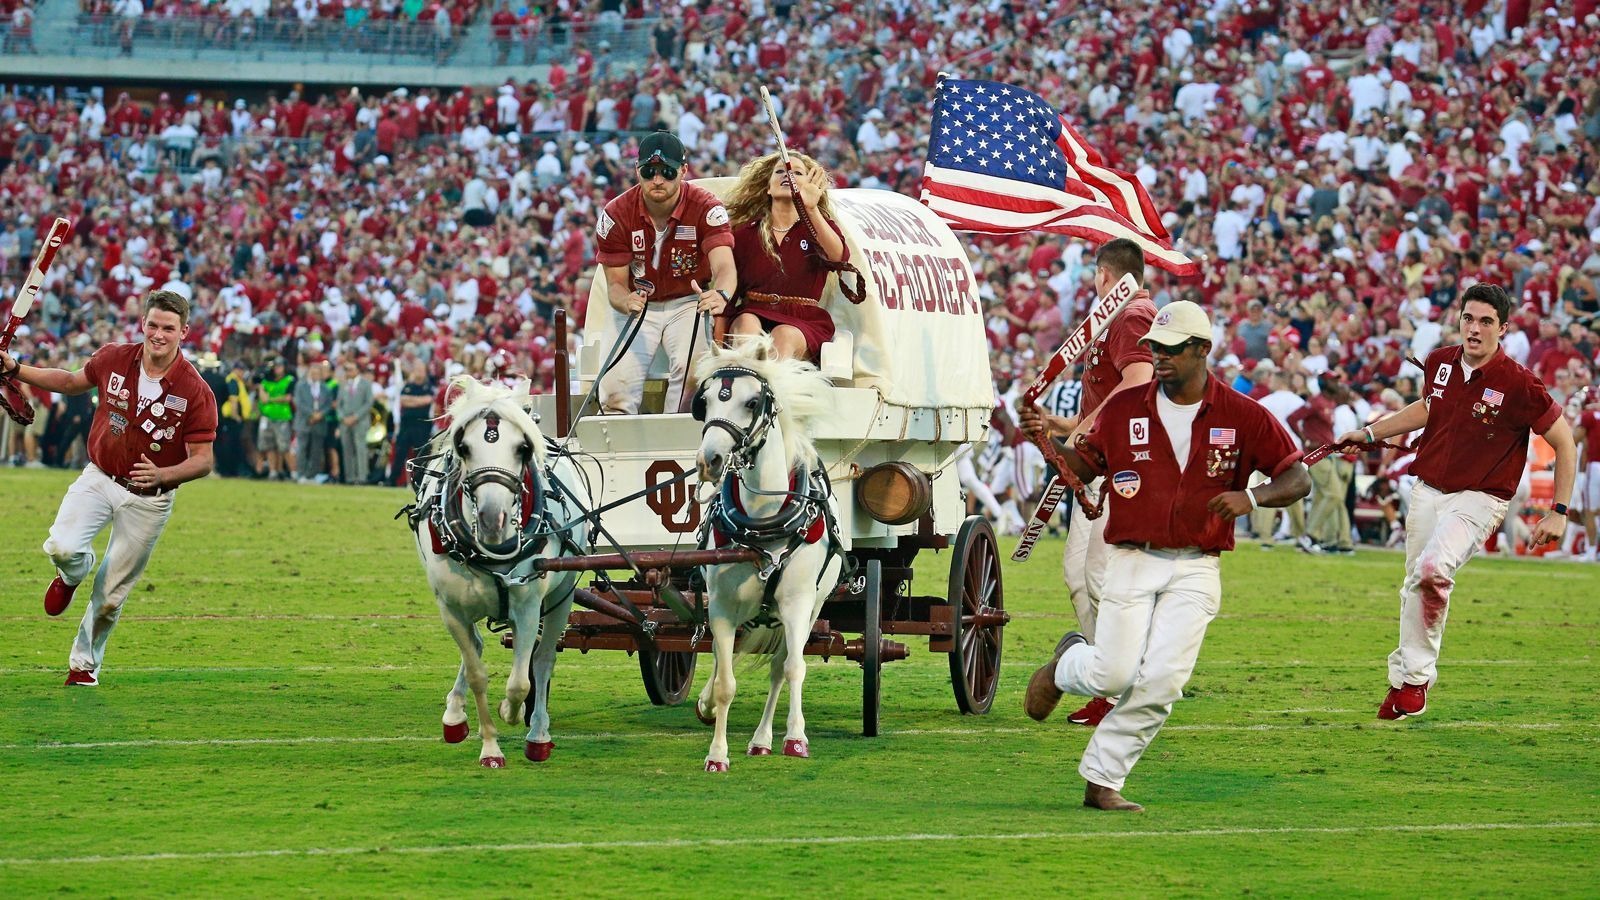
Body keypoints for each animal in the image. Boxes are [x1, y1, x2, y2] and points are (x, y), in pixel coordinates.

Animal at [409, 376, 592, 762]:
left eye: (522, 448)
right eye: (463, 447)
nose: (494, 519)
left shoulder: (528, 605)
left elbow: (522, 680)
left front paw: (512, 712)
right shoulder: (451, 610)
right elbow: (478, 673)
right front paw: (489, 746)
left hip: (562, 596)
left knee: (543, 659)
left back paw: (538, 733)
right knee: (477, 647)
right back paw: (455, 713)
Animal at [688, 333, 844, 768]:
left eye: (752, 402)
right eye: (705, 401)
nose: (709, 461)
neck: (763, 519)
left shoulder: (796, 604)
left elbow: (793, 668)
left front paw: (796, 738)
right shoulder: (721, 607)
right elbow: (725, 681)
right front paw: (717, 753)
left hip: (811, 608)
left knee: (780, 667)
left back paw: (763, 738)